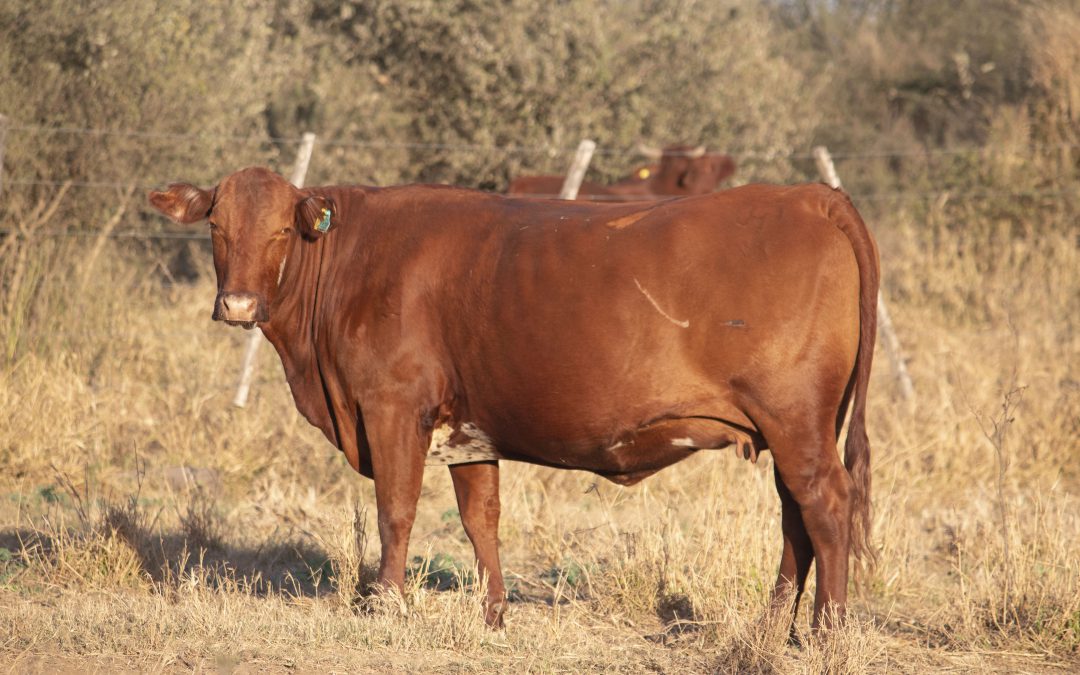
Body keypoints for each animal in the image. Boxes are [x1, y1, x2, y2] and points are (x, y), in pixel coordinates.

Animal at [150, 166, 876, 630]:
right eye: (216, 226)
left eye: (280, 231)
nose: (238, 305)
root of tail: (807, 196)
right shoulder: (469, 432)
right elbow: (481, 521)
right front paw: (494, 614)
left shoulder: (392, 409)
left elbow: (395, 511)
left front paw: (384, 603)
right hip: (788, 428)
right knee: (796, 518)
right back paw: (775, 626)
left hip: (795, 421)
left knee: (826, 506)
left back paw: (825, 632)